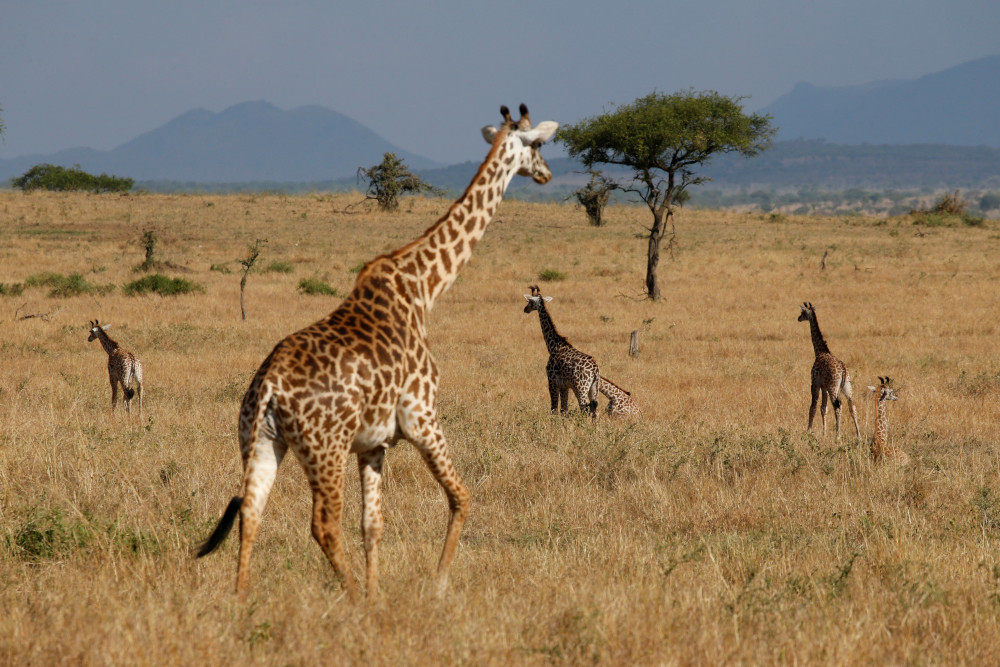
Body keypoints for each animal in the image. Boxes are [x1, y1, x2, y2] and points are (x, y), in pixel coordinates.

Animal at [193, 104, 556, 600]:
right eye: (537, 145)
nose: (546, 174)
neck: (423, 288)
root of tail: (268, 388)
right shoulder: (422, 415)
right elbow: (460, 497)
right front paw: (435, 586)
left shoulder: (374, 443)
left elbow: (373, 525)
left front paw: (377, 591)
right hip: (325, 449)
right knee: (323, 524)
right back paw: (351, 600)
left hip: (261, 441)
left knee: (251, 511)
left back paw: (242, 599)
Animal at [524, 286, 600, 418]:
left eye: (529, 302)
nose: (525, 309)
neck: (554, 346)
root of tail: (595, 370)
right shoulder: (565, 386)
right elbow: (564, 410)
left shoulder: (552, 382)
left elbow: (554, 409)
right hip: (594, 389)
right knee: (595, 412)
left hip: (581, 388)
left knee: (584, 409)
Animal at [796, 304, 860, 440]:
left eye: (802, 313)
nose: (798, 318)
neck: (821, 351)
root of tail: (844, 371)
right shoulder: (824, 387)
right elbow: (823, 408)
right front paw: (824, 433)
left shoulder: (815, 383)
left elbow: (813, 407)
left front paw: (808, 431)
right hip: (847, 386)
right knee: (852, 406)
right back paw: (859, 435)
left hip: (833, 386)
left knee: (838, 405)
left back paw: (838, 435)